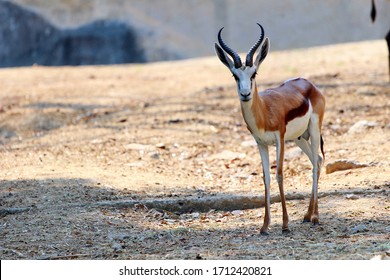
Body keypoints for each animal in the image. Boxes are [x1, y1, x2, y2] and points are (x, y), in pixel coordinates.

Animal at [216, 23, 326, 234]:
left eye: (254, 74)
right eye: (235, 75)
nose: (245, 94)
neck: (264, 111)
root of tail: (308, 83)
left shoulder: (279, 139)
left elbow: (279, 174)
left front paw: (285, 224)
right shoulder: (261, 143)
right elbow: (266, 178)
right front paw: (265, 225)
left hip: (314, 130)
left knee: (317, 162)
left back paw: (316, 217)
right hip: (300, 138)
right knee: (316, 160)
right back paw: (308, 215)